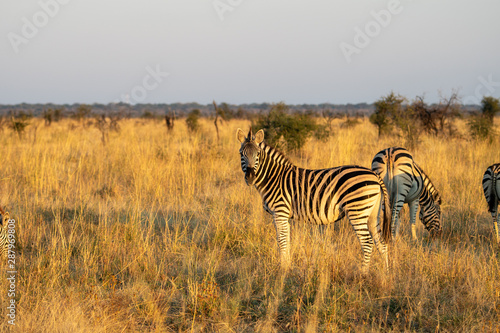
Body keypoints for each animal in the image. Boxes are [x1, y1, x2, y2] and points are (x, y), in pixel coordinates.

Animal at [236, 128, 392, 272]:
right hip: (372, 214)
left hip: (357, 211)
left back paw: (363, 273)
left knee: (367, 243)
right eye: (241, 154)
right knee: (381, 242)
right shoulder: (282, 215)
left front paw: (283, 269)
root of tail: (374, 174)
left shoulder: (280, 212)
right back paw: (385, 273)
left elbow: (282, 241)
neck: (274, 177)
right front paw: (287, 266)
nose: (250, 177)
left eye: (258, 154)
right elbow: (286, 239)